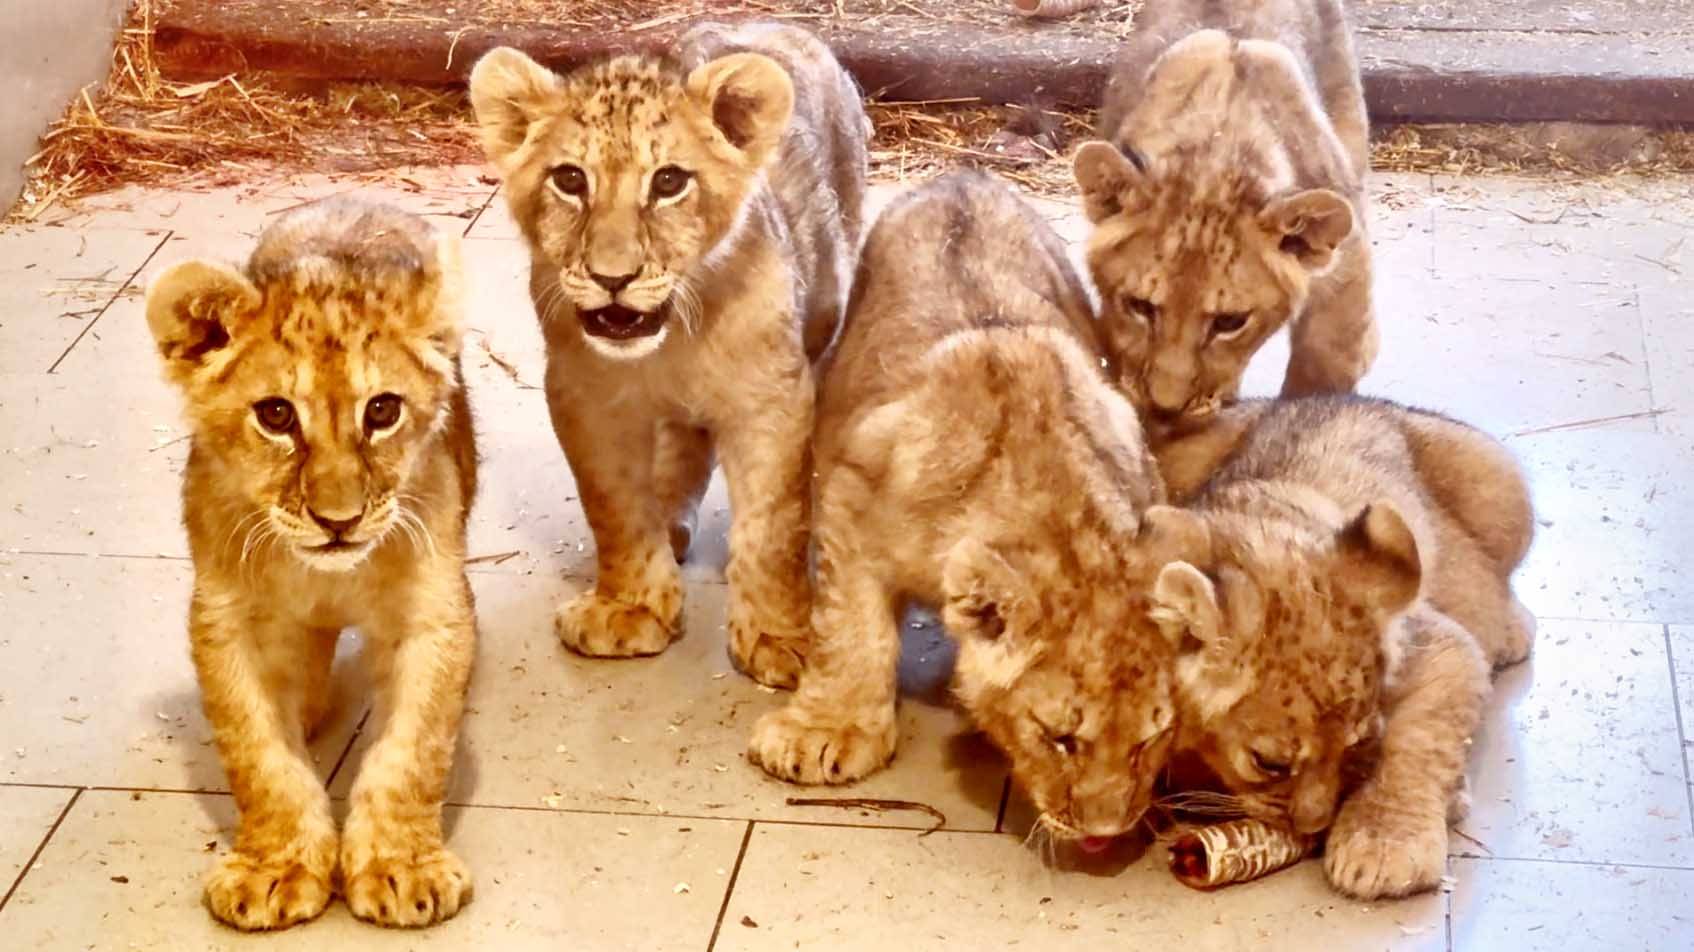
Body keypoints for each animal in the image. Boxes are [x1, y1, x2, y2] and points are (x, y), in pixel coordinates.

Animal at [144, 199, 479, 930]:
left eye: (382, 410)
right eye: (275, 415)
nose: (338, 521)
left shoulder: (431, 614)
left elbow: (412, 749)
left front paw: (402, 868)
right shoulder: (229, 621)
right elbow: (259, 755)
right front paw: (275, 870)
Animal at [468, 21, 868, 688]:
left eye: (669, 182)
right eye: (570, 180)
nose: (613, 278)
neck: (672, 343)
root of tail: (778, 23)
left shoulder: (773, 398)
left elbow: (775, 524)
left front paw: (785, 639)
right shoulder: (585, 396)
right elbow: (615, 506)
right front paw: (630, 608)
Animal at [748, 172, 1182, 849]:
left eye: (1149, 739)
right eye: (1060, 739)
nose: (1104, 835)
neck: (1061, 520)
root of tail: (963, 176)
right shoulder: (851, 502)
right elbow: (852, 631)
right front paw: (829, 731)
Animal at [1076, 0, 1375, 435]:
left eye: (1230, 322)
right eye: (1139, 306)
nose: (1166, 408)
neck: (1217, 156)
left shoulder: (1345, 283)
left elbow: (1322, 368)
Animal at [1142, 394, 1535, 899]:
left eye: (1356, 744)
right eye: (1269, 764)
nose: (1314, 826)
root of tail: (1340, 396)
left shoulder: (1442, 646)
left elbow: (1420, 740)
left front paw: (1384, 844)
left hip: (1501, 486)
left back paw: (1511, 630)